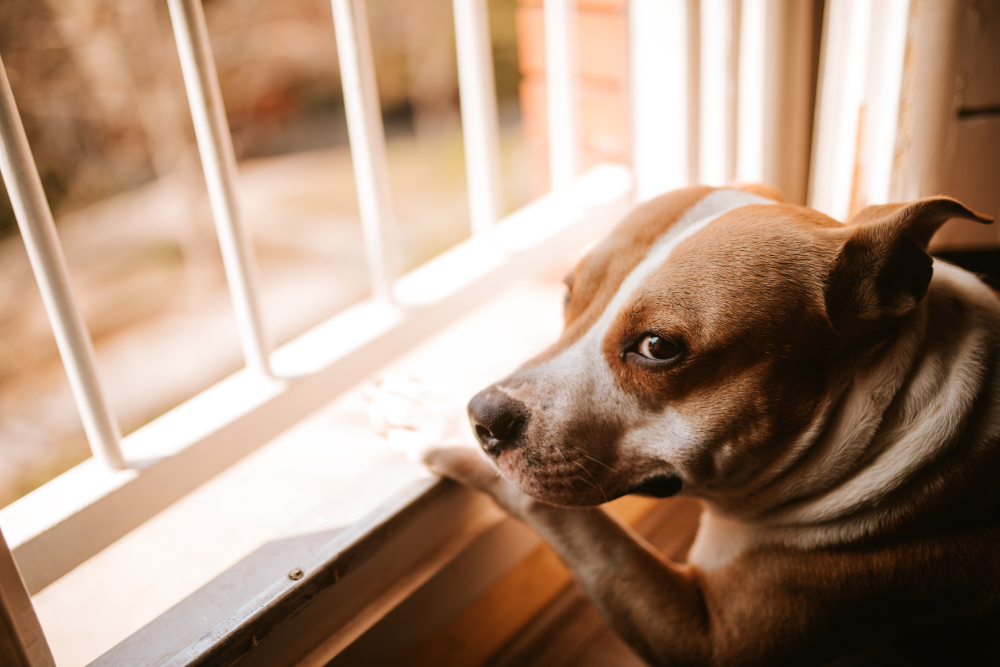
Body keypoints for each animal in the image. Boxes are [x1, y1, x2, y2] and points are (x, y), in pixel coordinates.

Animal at [370, 187, 1000, 667]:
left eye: (658, 347)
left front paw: (436, 428)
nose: (484, 415)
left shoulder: (704, 640)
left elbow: (570, 520)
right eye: (570, 294)